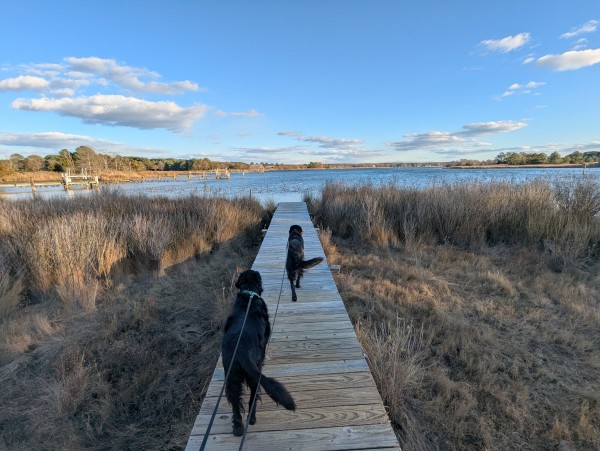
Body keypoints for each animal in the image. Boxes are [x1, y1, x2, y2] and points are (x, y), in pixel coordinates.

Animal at [220, 270, 296, 436]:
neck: (249, 296)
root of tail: (241, 352)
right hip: (254, 375)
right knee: (252, 398)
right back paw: (252, 419)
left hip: (232, 378)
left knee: (235, 403)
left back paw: (238, 428)